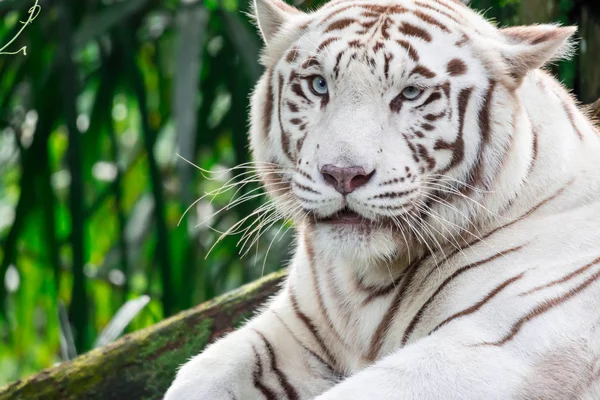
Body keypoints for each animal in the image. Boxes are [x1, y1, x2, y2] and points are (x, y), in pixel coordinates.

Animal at [165, 0, 600, 398]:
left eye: (410, 93)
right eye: (319, 85)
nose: (343, 174)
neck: (363, 284)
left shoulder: (494, 345)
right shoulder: (291, 329)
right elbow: (198, 376)